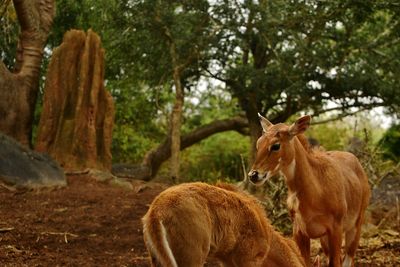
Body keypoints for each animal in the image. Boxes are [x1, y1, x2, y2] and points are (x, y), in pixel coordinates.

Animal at [248, 115, 370, 267]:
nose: (253, 175)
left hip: (356, 225)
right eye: (259, 143)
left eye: (276, 145)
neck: (316, 192)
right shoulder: (299, 232)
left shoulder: (336, 228)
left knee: (348, 259)